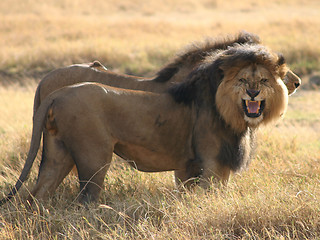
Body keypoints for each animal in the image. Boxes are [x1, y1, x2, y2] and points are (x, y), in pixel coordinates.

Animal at [0, 43, 288, 204]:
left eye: (263, 80)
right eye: (243, 80)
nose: (253, 93)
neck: (230, 113)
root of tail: (56, 93)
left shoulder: (195, 167)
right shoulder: (211, 164)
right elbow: (209, 196)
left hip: (56, 152)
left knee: (37, 194)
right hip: (94, 156)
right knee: (86, 198)